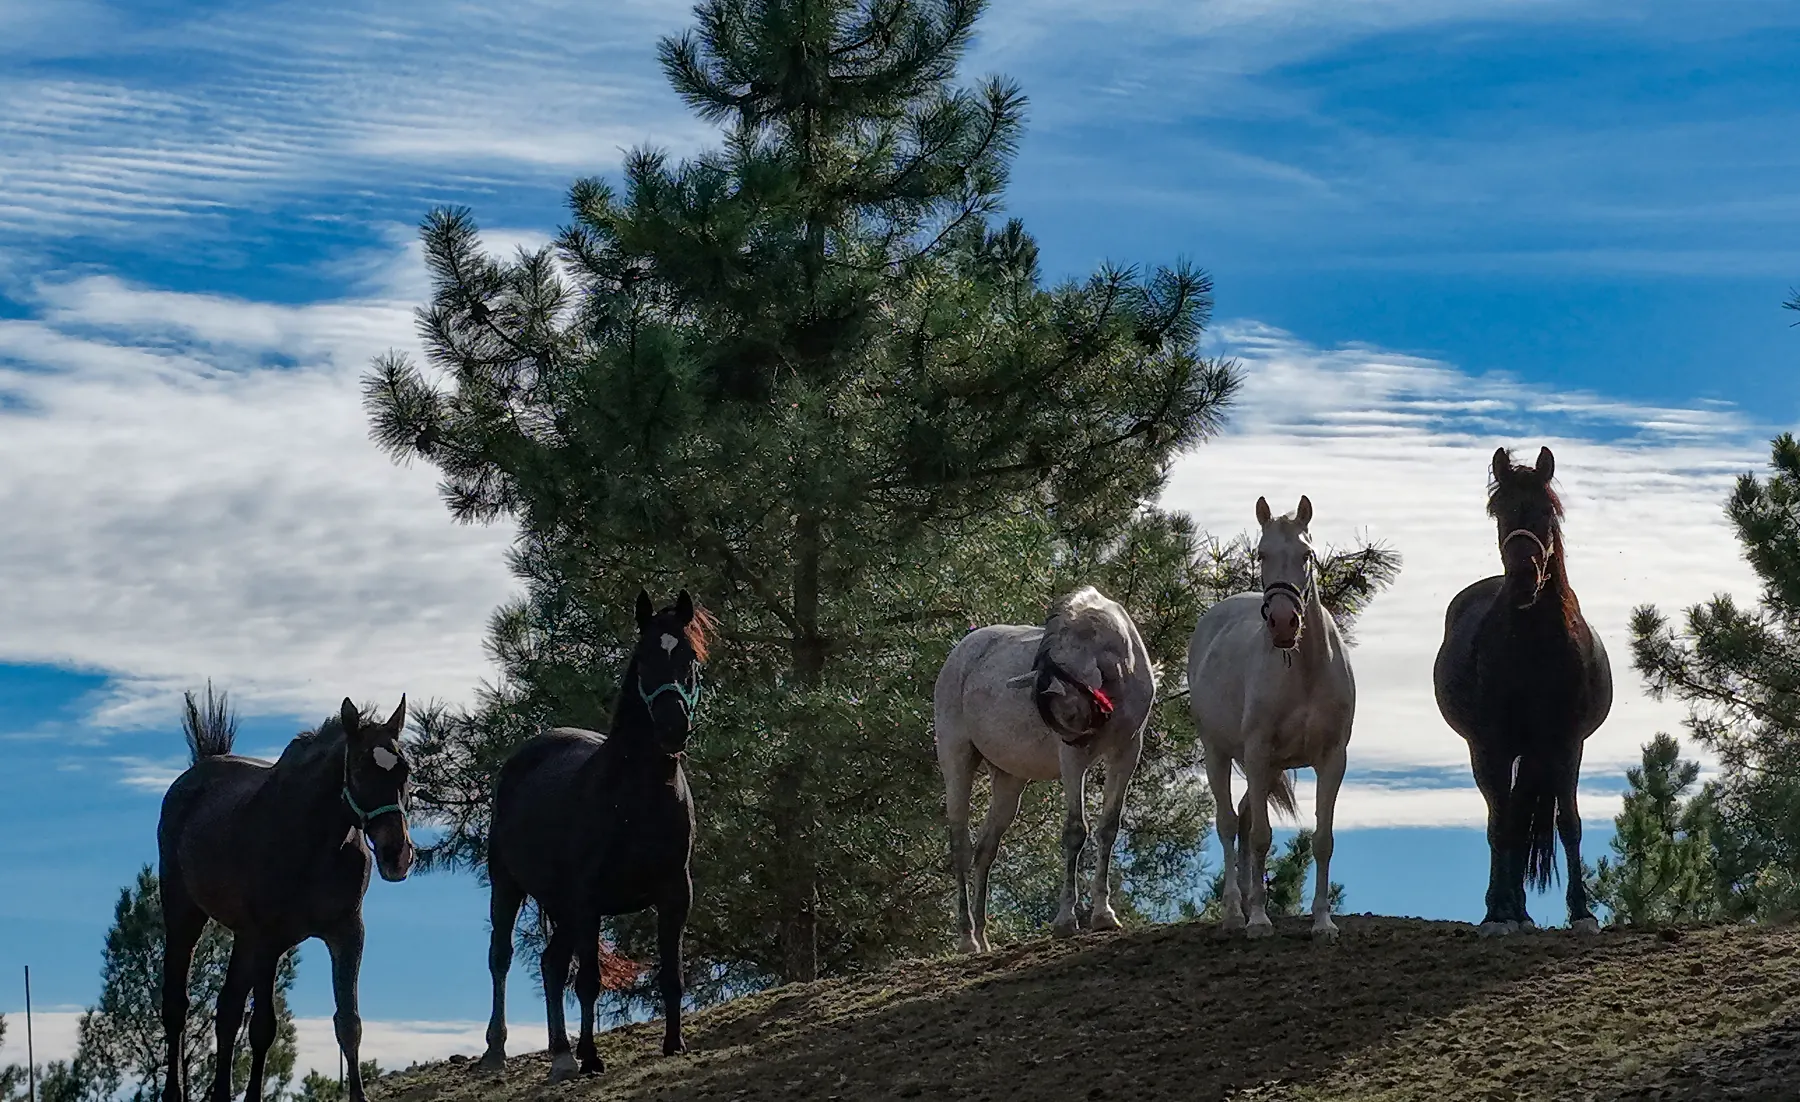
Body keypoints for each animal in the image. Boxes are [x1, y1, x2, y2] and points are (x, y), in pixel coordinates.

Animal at [158, 688, 415, 1102]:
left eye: (404, 770)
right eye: (360, 768)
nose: (397, 855)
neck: (314, 840)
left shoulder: (346, 933)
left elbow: (348, 1023)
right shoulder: (264, 938)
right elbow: (253, 1024)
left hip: (250, 942)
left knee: (236, 1014)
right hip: (185, 917)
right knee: (177, 1006)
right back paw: (173, 1092)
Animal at [479, 589, 711, 1081]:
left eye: (689, 658)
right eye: (643, 659)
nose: (673, 728)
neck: (637, 797)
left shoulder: (675, 894)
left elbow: (672, 975)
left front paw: (674, 1043)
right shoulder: (589, 900)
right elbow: (588, 982)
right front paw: (591, 1057)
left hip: (561, 906)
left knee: (550, 964)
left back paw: (560, 1053)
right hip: (508, 886)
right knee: (501, 957)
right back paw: (497, 1051)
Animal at [935, 586, 1156, 953]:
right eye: (1058, 716)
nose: (1078, 740)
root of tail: (961, 650)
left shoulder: (1126, 752)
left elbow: (1108, 828)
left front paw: (1103, 915)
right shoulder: (1072, 761)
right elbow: (1075, 831)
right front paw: (1066, 920)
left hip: (1009, 779)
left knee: (985, 850)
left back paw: (983, 937)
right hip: (956, 758)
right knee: (961, 846)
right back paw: (967, 938)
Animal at [1187, 495, 1356, 942]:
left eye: (1306, 555)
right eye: (1261, 554)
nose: (1283, 623)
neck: (1305, 670)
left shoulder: (1331, 759)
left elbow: (1322, 840)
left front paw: (1323, 922)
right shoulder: (1259, 752)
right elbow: (1260, 836)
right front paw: (1260, 922)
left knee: (1244, 817)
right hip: (1221, 754)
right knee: (1230, 824)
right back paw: (1235, 912)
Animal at [1434, 446, 1612, 936]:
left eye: (1548, 510)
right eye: (1498, 511)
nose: (1522, 579)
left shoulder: (1566, 744)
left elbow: (1568, 822)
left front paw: (1582, 913)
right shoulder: (1491, 744)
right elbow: (1502, 827)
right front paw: (1498, 915)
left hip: (1533, 754)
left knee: (1518, 812)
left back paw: (1522, 910)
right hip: (1491, 752)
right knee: (1503, 818)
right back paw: (1509, 909)